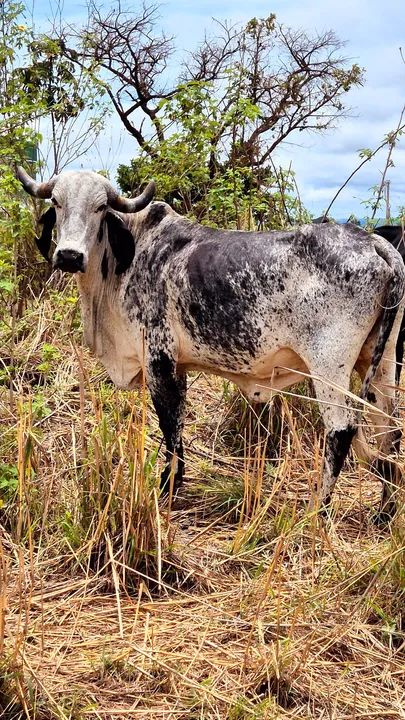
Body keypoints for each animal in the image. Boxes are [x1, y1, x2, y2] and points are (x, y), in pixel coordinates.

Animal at [16, 166, 405, 521]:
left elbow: (170, 428)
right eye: (56, 202)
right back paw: (384, 510)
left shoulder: (159, 360)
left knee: (342, 431)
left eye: (99, 207)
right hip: (381, 361)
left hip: (329, 368)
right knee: (389, 427)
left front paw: (168, 489)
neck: (133, 250)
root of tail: (372, 242)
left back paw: (317, 512)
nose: (69, 256)